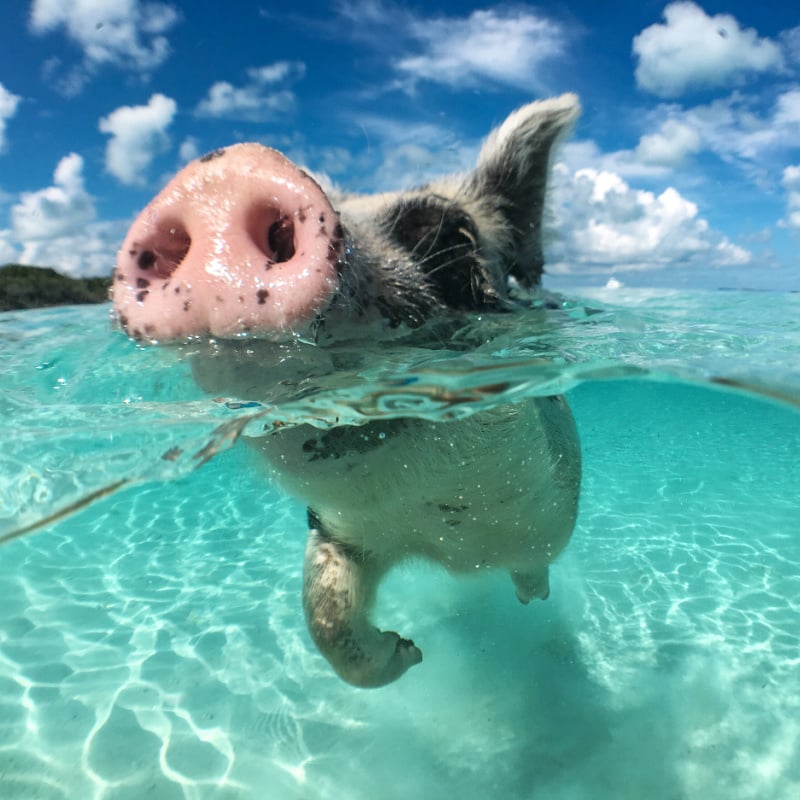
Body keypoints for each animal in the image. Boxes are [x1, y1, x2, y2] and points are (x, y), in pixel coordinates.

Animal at [111, 95, 580, 688]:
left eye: (453, 235)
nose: (221, 175)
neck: (448, 540)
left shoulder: (547, 515)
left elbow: (534, 564)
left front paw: (498, 612)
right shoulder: (337, 531)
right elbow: (326, 616)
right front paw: (409, 651)